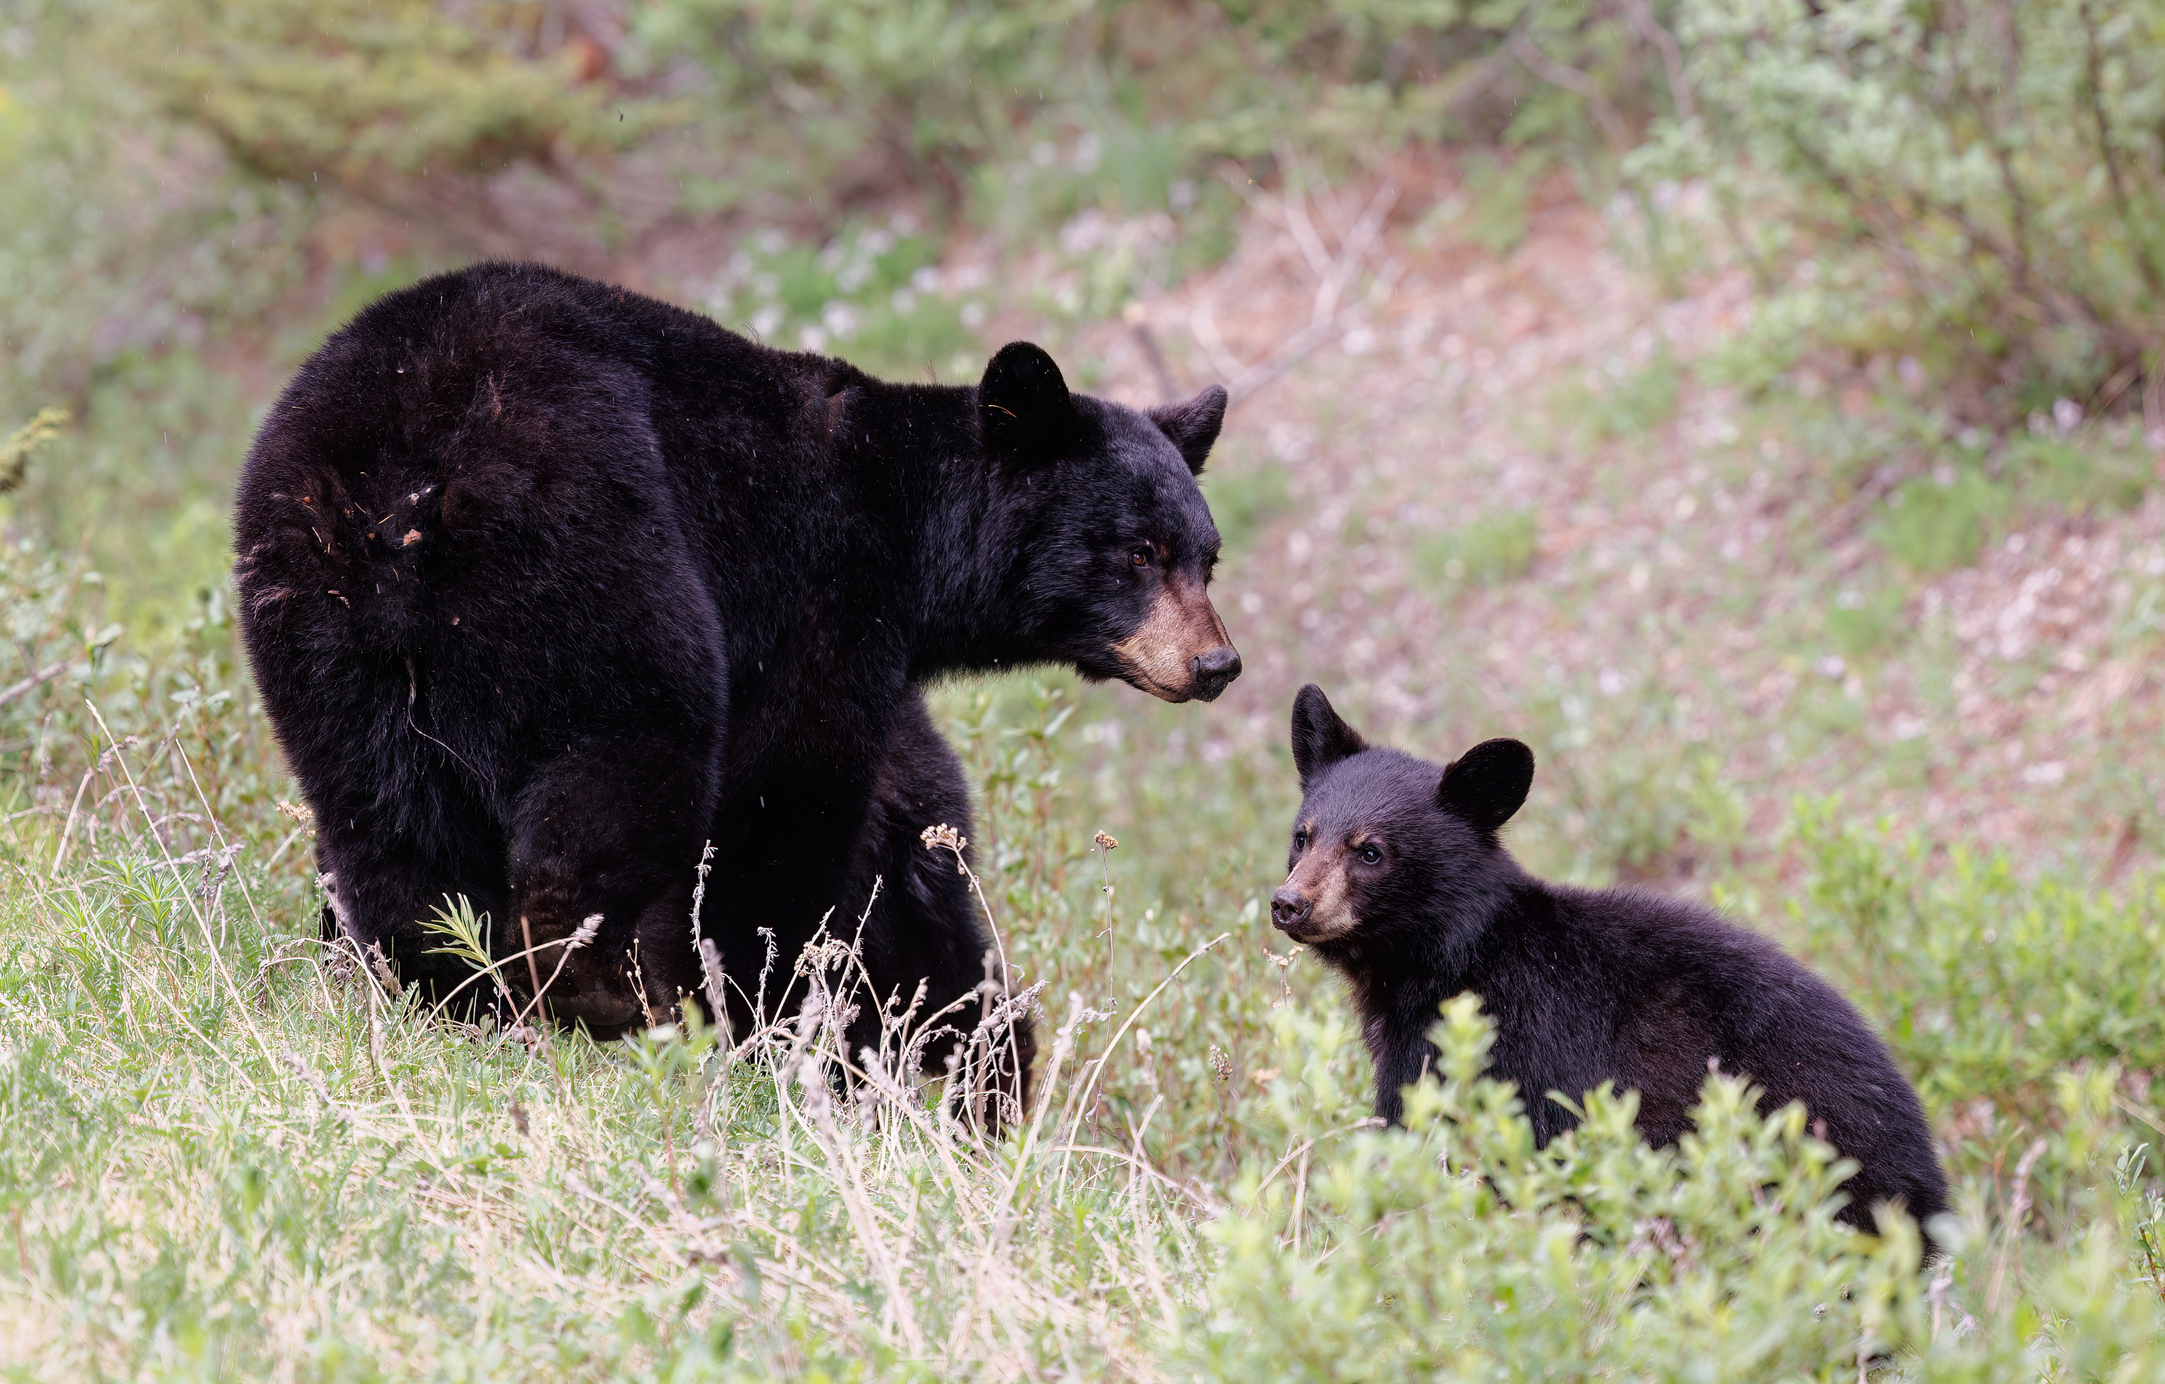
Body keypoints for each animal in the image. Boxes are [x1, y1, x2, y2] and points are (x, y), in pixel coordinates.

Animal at [232, 262, 1238, 1104]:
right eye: (1137, 551)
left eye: (1205, 555)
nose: (1215, 664)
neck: (905, 532)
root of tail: (399, 489)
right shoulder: (816, 603)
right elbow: (788, 803)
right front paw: (762, 1021)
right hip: (593, 564)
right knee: (621, 767)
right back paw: (603, 1002)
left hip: (325, 640)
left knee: (390, 832)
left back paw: (440, 996)